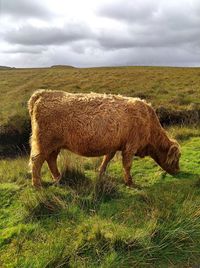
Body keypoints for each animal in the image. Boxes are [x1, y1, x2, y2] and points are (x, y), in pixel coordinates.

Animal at [27, 89, 180, 187]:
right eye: (177, 158)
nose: (178, 171)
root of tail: (42, 94)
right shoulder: (130, 146)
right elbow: (127, 165)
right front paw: (130, 182)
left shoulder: (114, 145)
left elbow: (107, 159)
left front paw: (100, 173)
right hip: (44, 142)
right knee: (37, 161)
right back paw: (37, 185)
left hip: (54, 145)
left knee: (51, 160)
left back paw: (58, 178)